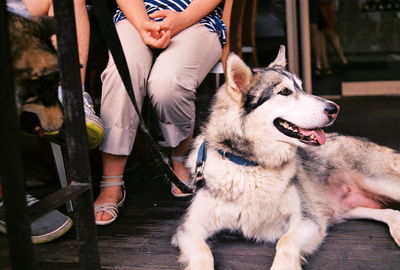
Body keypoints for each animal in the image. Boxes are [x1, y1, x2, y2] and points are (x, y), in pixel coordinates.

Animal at [173, 46, 400, 270]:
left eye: (301, 88)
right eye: (285, 92)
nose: (334, 109)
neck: (250, 165)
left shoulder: (307, 221)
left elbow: (285, 243)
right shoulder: (189, 229)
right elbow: (203, 253)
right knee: (390, 212)